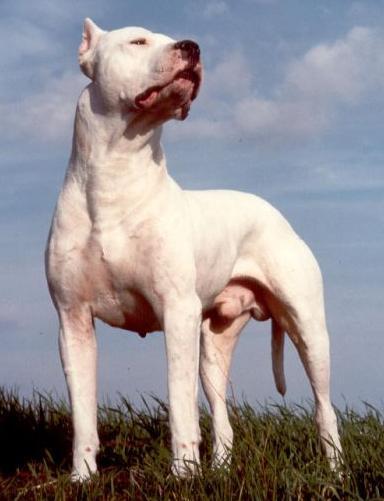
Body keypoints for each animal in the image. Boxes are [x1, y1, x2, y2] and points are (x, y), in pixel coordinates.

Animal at [45, 19, 342, 478]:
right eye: (138, 41)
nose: (193, 47)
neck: (115, 175)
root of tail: (276, 213)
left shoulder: (177, 314)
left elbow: (180, 405)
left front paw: (184, 474)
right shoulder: (73, 322)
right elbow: (82, 414)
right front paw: (82, 477)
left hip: (308, 328)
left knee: (324, 406)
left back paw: (334, 472)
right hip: (213, 347)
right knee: (222, 417)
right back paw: (218, 470)